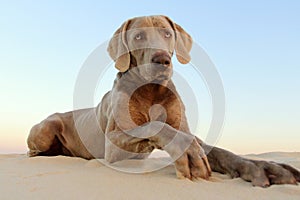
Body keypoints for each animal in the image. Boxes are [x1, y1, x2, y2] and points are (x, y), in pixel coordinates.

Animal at [27, 14, 298, 187]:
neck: (152, 91)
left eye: (167, 34)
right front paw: (187, 153)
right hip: (47, 126)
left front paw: (265, 167)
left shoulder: (183, 126)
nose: (161, 60)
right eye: (138, 37)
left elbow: (213, 148)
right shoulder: (113, 148)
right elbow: (156, 126)